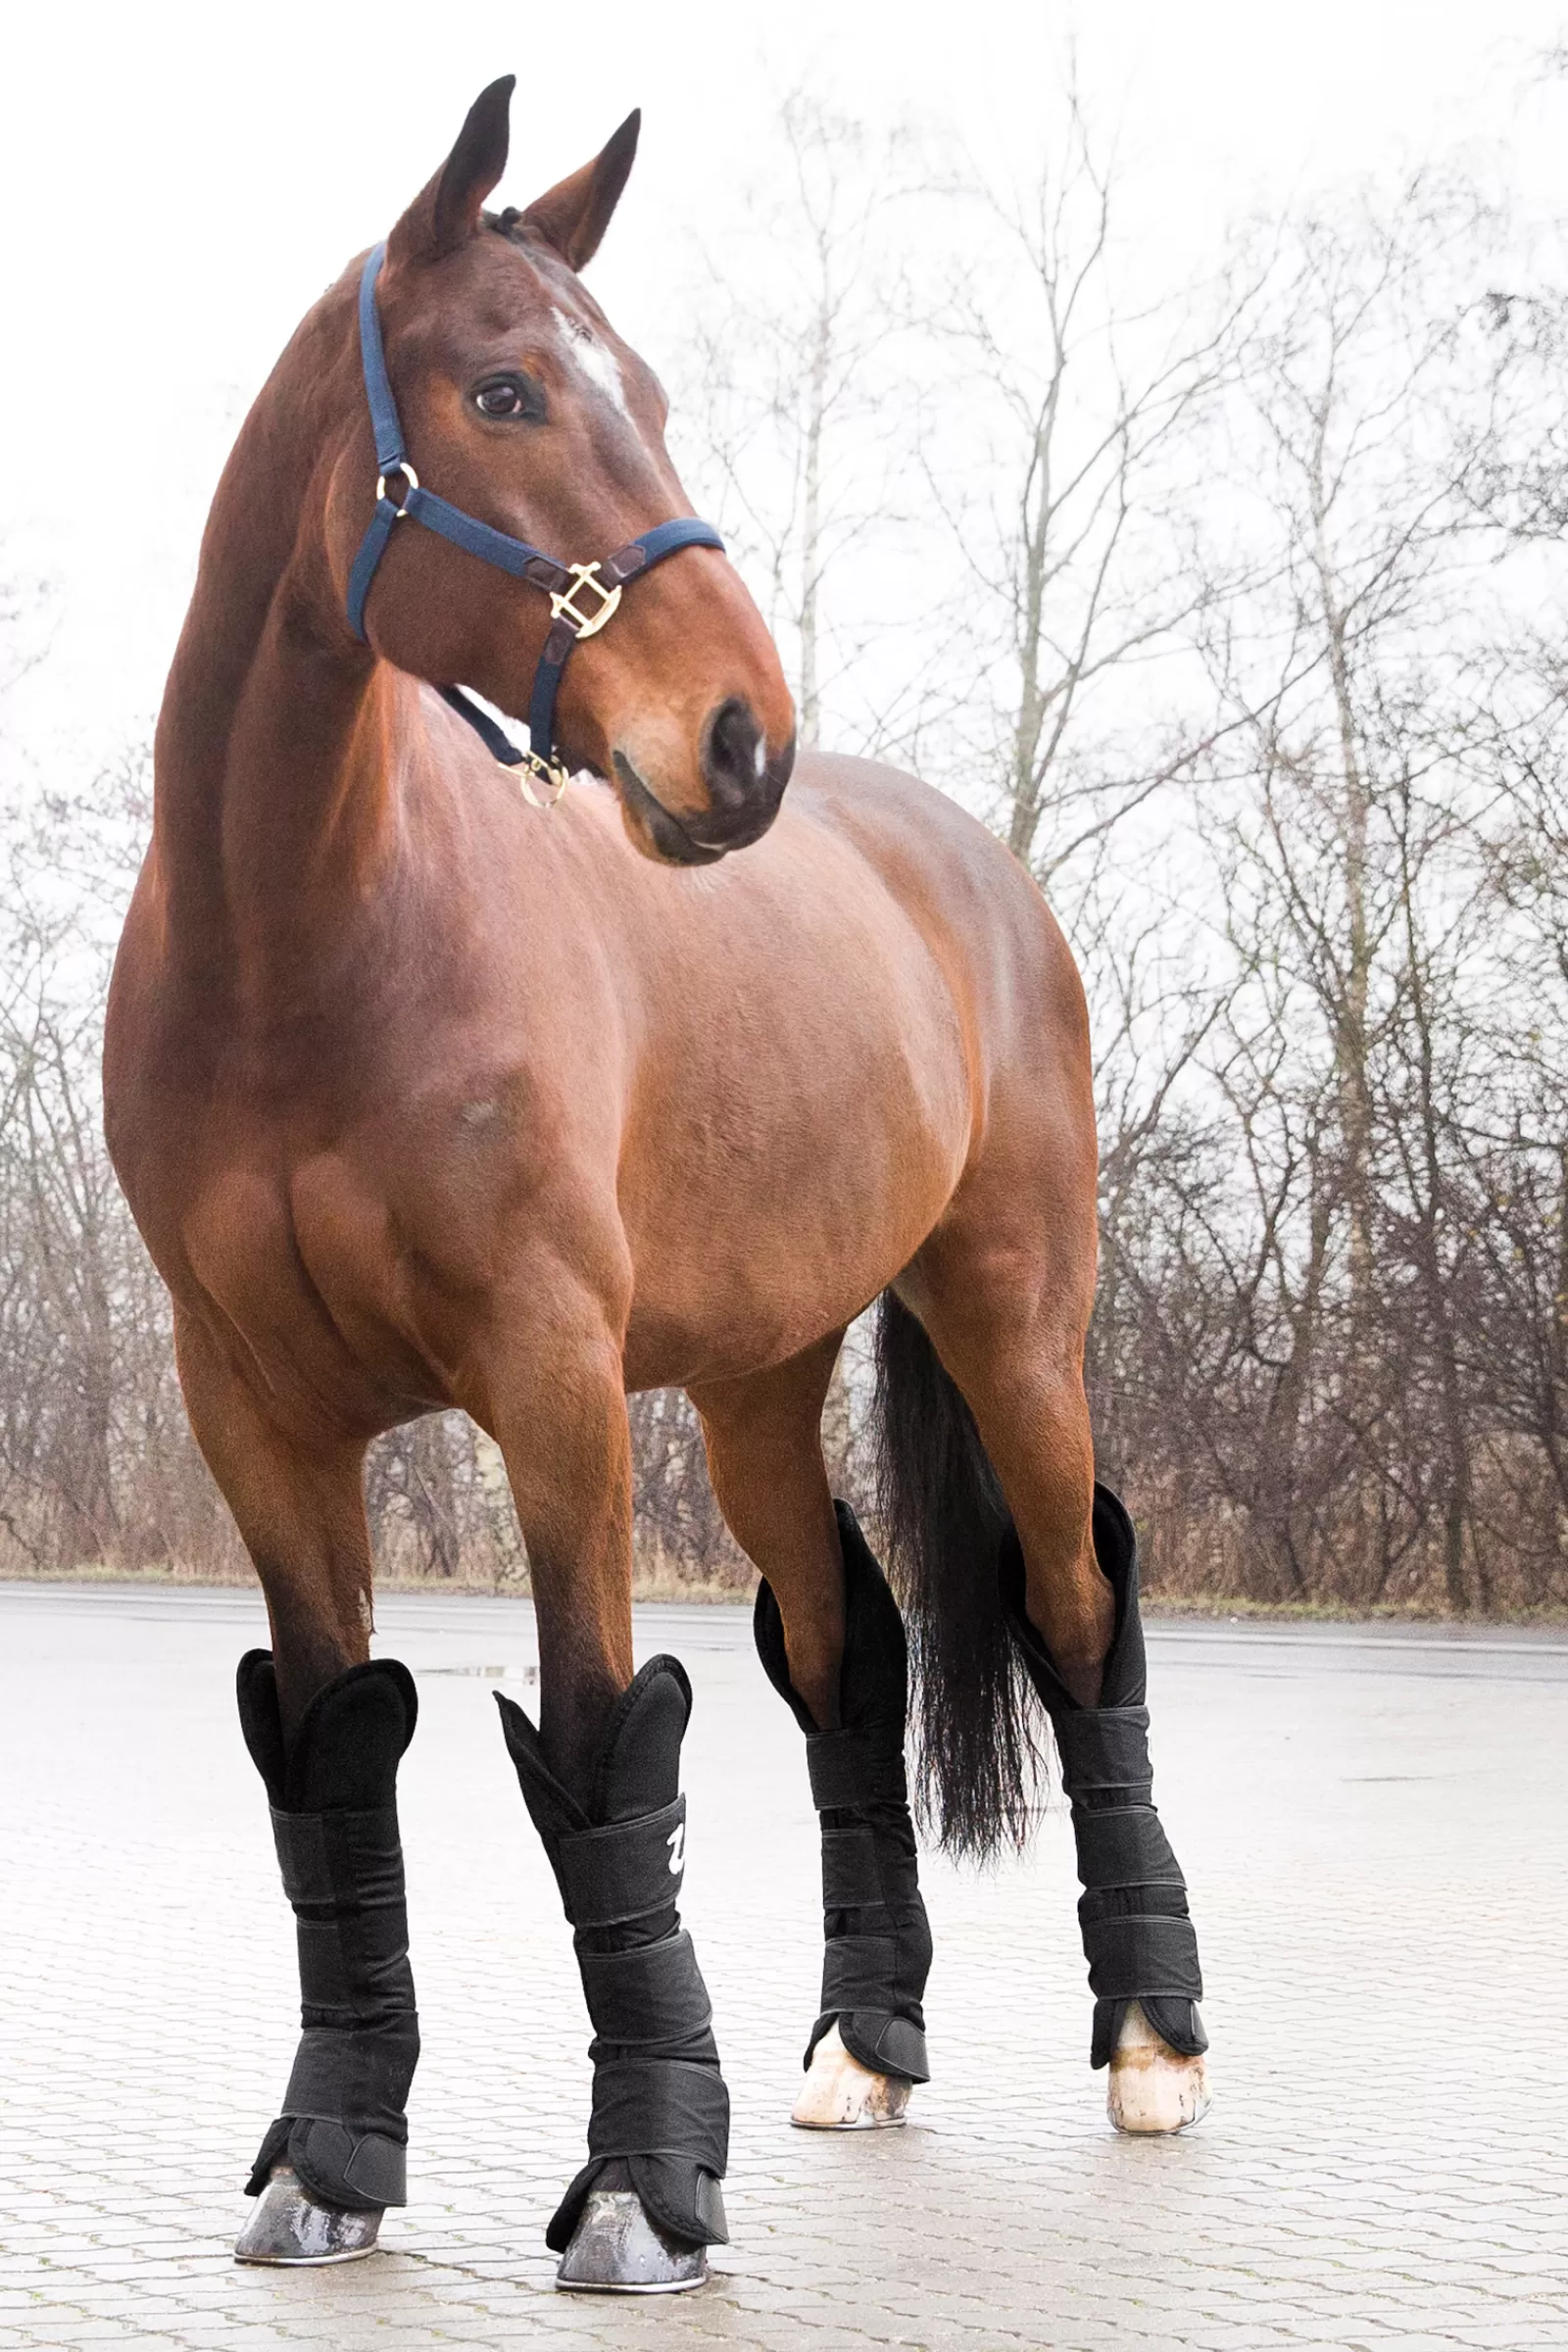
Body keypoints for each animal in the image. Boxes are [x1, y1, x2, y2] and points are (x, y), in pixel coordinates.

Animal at [107, 77, 1212, 2295]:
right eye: (506, 389)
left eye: (657, 396)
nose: (738, 742)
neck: (298, 955)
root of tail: (971, 868)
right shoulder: (254, 1411)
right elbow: (331, 1755)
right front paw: (331, 2159)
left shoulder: (550, 1384)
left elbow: (603, 1744)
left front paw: (641, 2188)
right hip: (760, 1378)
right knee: (849, 1654)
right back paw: (864, 2043)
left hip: (1012, 1324)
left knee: (1073, 1609)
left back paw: (1148, 2041)